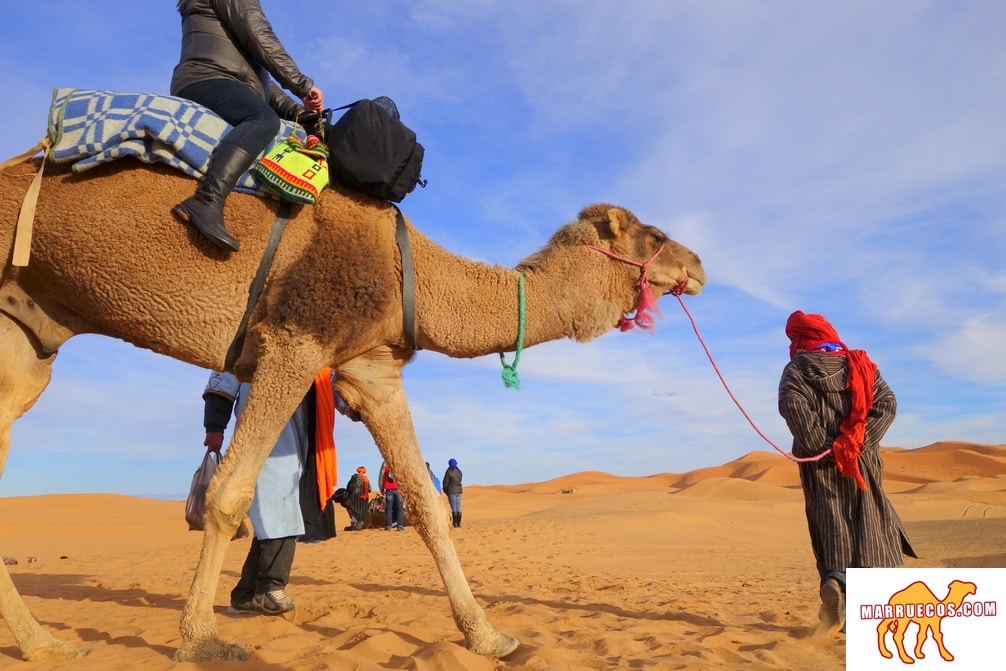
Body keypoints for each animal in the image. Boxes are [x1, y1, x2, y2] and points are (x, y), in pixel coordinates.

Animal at [0, 155, 704, 659]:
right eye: (655, 234)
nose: (698, 263)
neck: (407, 269)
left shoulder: (371, 371)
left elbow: (427, 504)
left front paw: (488, 636)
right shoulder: (296, 338)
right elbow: (229, 493)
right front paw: (200, 640)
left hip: (26, 339)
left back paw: (47, 644)